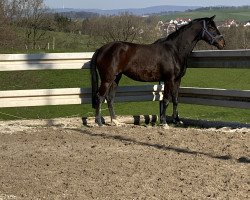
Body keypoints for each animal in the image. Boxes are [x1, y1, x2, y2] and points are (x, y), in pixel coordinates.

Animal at [89, 15, 225, 126]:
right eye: (211, 27)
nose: (222, 43)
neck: (174, 50)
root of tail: (101, 49)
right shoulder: (169, 79)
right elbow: (166, 100)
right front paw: (164, 122)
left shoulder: (177, 80)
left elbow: (175, 99)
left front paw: (177, 120)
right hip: (107, 79)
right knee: (100, 97)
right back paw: (99, 122)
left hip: (116, 78)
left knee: (110, 98)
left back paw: (115, 121)